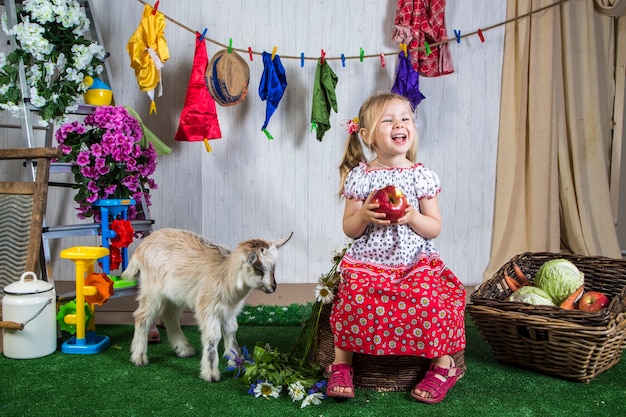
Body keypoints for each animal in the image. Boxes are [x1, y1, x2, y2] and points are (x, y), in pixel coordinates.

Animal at [122, 228, 292, 380]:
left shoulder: (228, 310)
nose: (273, 288)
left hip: (174, 294)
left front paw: (237, 362)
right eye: (258, 269)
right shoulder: (208, 308)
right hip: (152, 289)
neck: (224, 275)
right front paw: (210, 373)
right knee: (142, 315)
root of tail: (140, 248)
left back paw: (184, 349)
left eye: (273, 268)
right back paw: (139, 357)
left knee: (169, 315)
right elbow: (213, 336)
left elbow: (231, 330)